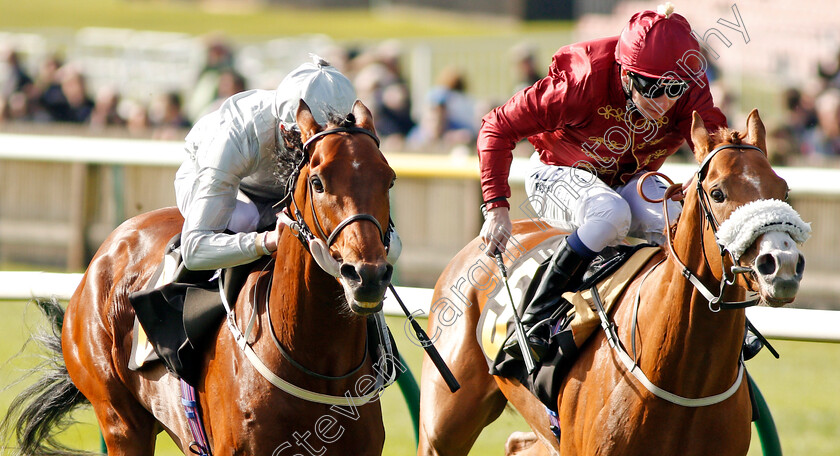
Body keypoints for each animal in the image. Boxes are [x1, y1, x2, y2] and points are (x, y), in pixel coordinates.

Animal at [3, 101, 398, 454]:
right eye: (317, 182)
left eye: (389, 180)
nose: (366, 276)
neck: (316, 362)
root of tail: (107, 250)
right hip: (119, 419)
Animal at [418, 110, 808, 456]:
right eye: (718, 193)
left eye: (784, 190)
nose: (782, 264)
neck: (684, 377)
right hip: (444, 423)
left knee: (517, 444)